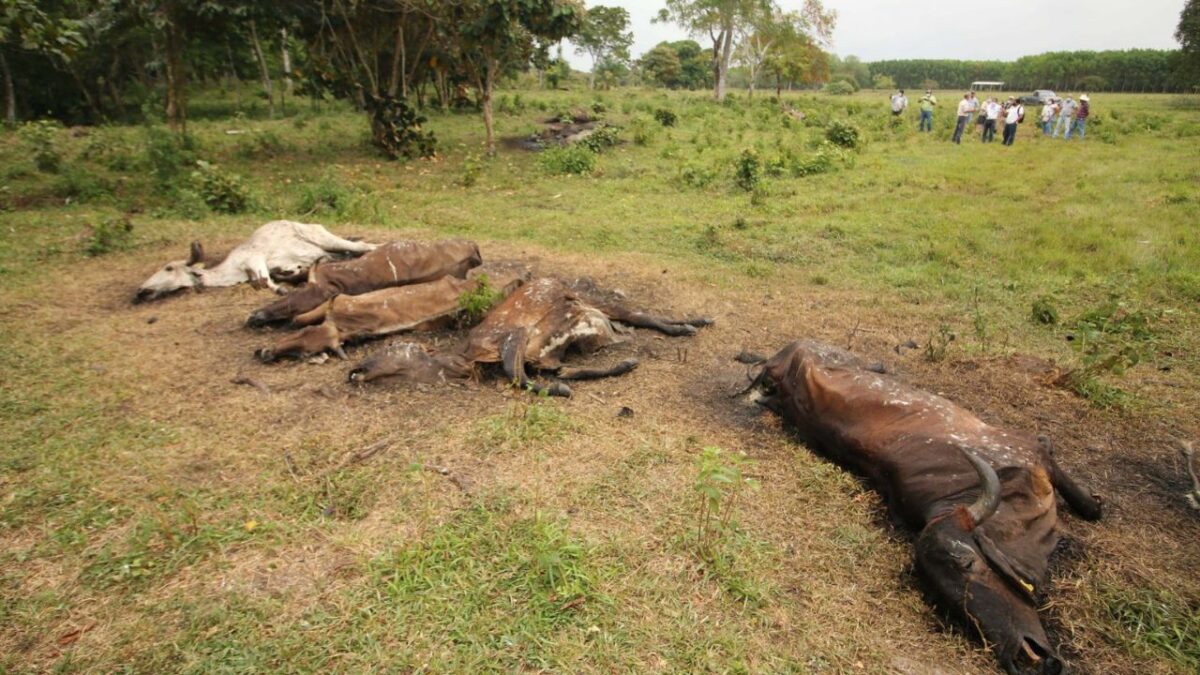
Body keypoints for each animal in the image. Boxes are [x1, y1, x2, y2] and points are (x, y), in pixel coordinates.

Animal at [133, 219, 372, 300]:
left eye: (168, 268)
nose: (140, 291)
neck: (232, 271)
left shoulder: (254, 259)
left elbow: (266, 281)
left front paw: (282, 289)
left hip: (325, 238)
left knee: (364, 247)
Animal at [348, 276, 710, 396]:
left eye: (392, 346)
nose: (354, 369)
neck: (467, 361)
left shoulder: (513, 334)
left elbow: (514, 374)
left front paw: (560, 391)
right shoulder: (545, 359)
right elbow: (563, 372)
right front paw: (624, 365)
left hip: (589, 297)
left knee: (638, 313)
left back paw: (693, 323)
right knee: (633, 317)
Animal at [753, 341, 1099, 672]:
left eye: (968, 562)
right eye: (941, 599)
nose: (1019, 658)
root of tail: (786, 357)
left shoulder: (1033, 454)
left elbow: (1091, 508)